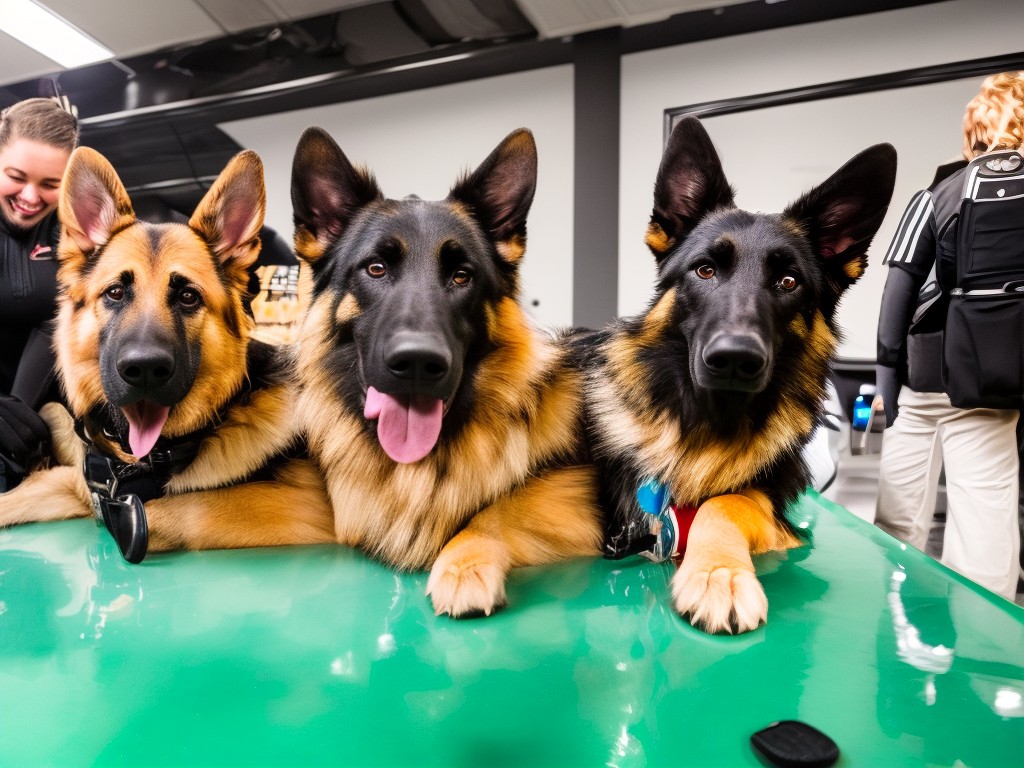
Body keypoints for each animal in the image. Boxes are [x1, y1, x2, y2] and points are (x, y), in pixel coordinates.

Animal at [0, 145, 333, 552]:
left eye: (188, 297)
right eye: (115, 292)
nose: (143, 370)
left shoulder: (305, 505)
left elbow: (170, 510)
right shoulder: (79, 484)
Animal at [290, 128, 598, 618]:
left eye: (461, 276)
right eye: (375, 268)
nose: (418, 363)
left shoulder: (572, 491)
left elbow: (500, 509)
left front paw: (464, 561)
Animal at [585, 118, 897, 638]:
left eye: (789, 282)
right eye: (705, 270)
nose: (734, 359)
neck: (708, 423)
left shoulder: (775, 514)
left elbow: (726, 503)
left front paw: (718, 574)